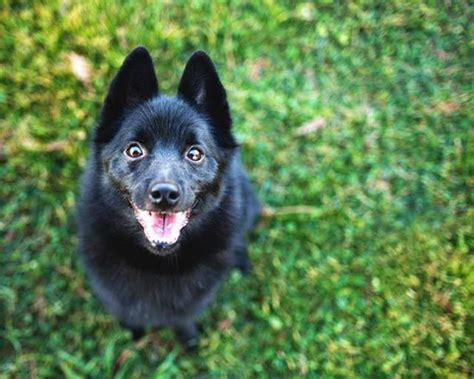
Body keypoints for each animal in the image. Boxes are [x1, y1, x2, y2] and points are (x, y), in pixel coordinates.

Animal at [77, 47, 260, 350]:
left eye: (195, 153)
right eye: (134, 150)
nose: (165, 194)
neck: (157, 264)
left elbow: (183, 318)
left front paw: (188, 339)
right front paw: (134, 332)